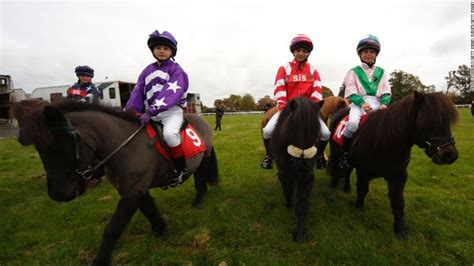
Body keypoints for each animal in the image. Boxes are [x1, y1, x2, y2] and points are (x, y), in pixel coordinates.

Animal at [11, 100, 218, 266]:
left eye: (58, 148)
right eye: (40, 149)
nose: (58, 194)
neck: (124, 145)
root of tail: (202, 121)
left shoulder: (132, 192)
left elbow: (114, 227)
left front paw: (100, 260)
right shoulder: (133, 189)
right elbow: (149, 209)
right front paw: (160, 228)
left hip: (204, 159)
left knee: (200, 178)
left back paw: (199, 199)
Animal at [272, 95, 324, 241]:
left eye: (317, 131)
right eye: (293, 127)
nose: (301, 165)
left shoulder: (307, 177)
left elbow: (302, 202)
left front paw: (300, 232)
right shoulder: (284, 173)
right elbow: (288, 190)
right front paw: (288, 204)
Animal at [328, 91, 458, 239]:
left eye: (447, 122)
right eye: (428, 122)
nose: (449, 155)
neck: (383, 139)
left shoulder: (398, 176)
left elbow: (398, 202)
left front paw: (400, 230)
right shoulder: (363, 172)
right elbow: (362, 190)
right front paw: (358, 207)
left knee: (348, 171)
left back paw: (346, 187)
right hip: (335, 152)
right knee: (335, 165)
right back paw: (333, 183)